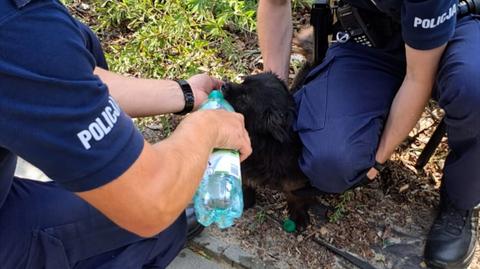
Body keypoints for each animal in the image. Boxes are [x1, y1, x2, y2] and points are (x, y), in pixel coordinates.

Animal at [223, 71, 316, 228]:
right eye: (243, 81)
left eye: (245, 98)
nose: (223, 84)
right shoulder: (245, 164)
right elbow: (246, 181)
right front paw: (245, 200)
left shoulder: (295, 177)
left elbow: (295, 194)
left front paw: (298, 214)